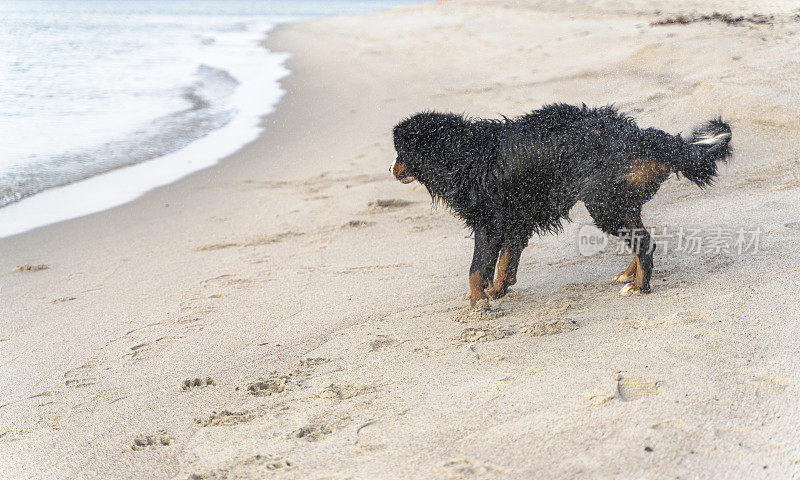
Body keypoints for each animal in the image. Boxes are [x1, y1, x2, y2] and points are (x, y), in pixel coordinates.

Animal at [390, 103, 736, 306]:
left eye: (399, 152)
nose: (391, 169)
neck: (463, 152)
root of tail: (639, 135)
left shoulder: (489, 222)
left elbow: (476, 269)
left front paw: (478, 305)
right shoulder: (516, 220)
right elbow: (505, 263)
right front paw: (498, 291)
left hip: (603, 205)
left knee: (644, 244)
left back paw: (640, 287)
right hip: (618, 202)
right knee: (641, 241)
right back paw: (628, 275)